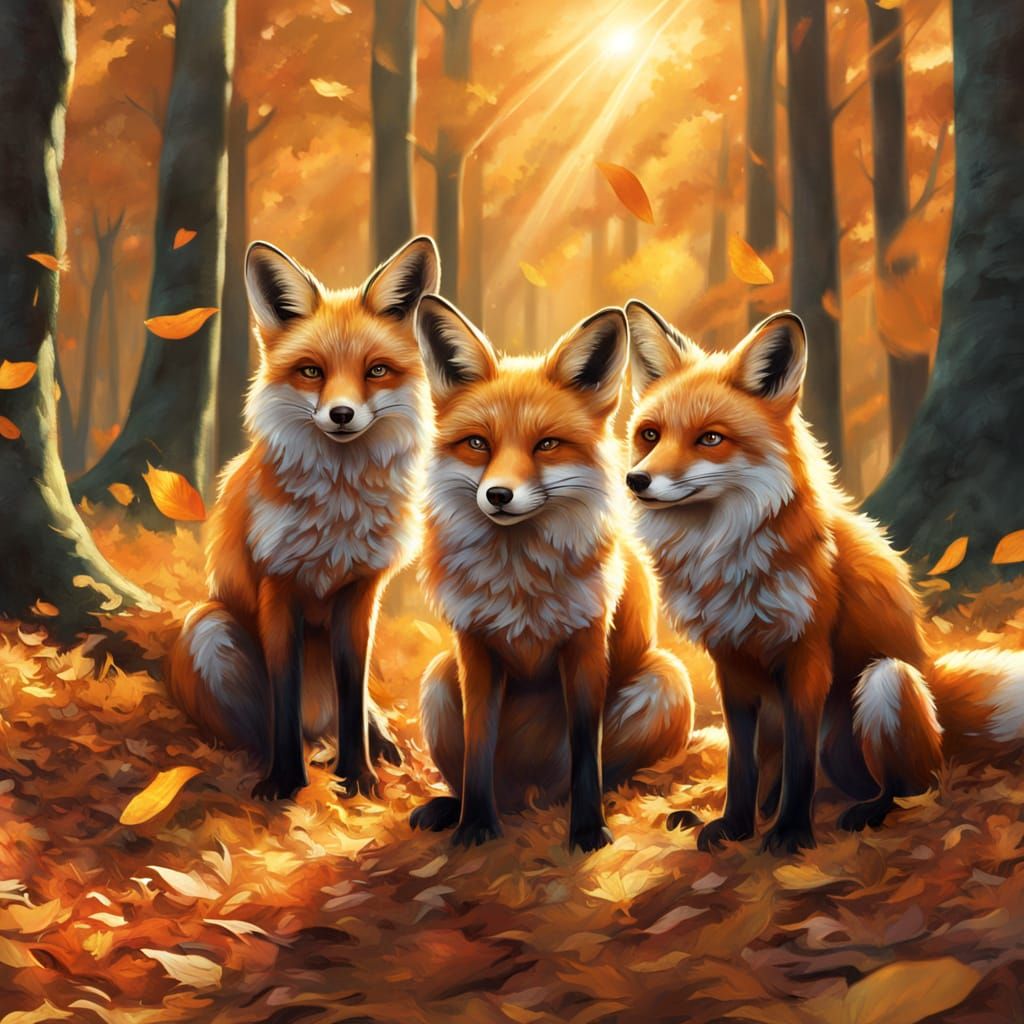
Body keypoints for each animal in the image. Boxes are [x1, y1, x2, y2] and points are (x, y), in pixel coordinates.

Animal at [169, 236, 440, 800]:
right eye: (312, 371)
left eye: (376, 371)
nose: (341, 414)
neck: (337, 514)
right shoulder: (278, 586)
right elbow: (284, 698)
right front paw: (285, 780)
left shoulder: (360, 593)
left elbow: (354, 693)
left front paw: (359, 777)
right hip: (210, 626)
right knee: (267, 723)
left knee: (351, 710)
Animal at [408, 296, 694, 851]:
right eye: (478, 443)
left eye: (546, 445)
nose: (498, 494)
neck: (520, 583)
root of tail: (532, 796)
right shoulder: (475, 647)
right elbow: (479, 745)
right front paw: (474, 827)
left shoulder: (585, 641)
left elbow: (587, 752)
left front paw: (586, 830)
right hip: (437, 679)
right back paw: (454, 808)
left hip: (666, 680)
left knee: (607, 775)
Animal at [624, 299, 1024, 854]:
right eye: (650, 434)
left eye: (710, 439)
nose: (635, 481)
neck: (724, 558)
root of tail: (933, 680)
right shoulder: (732, 664)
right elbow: (741, 764)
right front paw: (737, 827)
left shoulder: (807, 656)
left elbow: (800, 764)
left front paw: (791, 833)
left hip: (884, 682)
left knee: (914, 788)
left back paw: (866, 812)